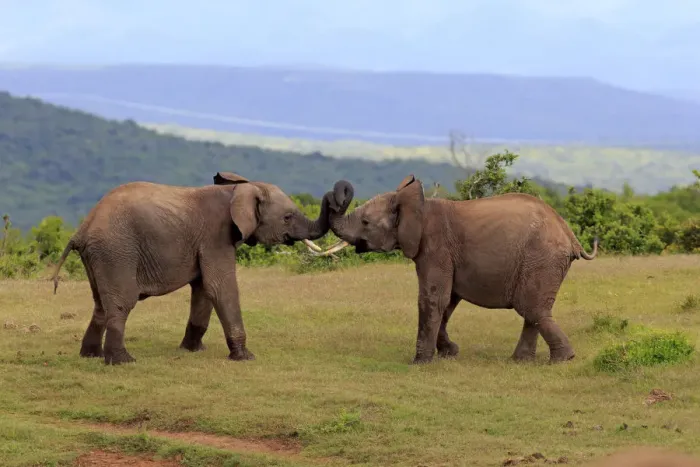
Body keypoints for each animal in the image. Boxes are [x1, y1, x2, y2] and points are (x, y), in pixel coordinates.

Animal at [52, 171, 350, 365]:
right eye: (287, 217)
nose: (338, 193)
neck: (239, 190)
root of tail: (82, 229)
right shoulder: (215, 236)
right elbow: (220, 287)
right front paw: (245, 357)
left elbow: (204, 290)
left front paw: (193, 350)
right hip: (116, 251)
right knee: (121, 303)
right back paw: (123, 361)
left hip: (99, 255)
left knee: (100, 304)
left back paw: (91, 356)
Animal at [312, 175, 598, 364]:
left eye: (365, 222)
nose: (338, 194)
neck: (418, 204)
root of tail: (570, 235)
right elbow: (447, 301)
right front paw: (450, 353)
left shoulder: (435, 247)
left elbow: (433, 299)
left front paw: (420, 363)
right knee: (533, 310)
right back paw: (521, 361)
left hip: (541, 259)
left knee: (531, 308)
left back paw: (562, 360)